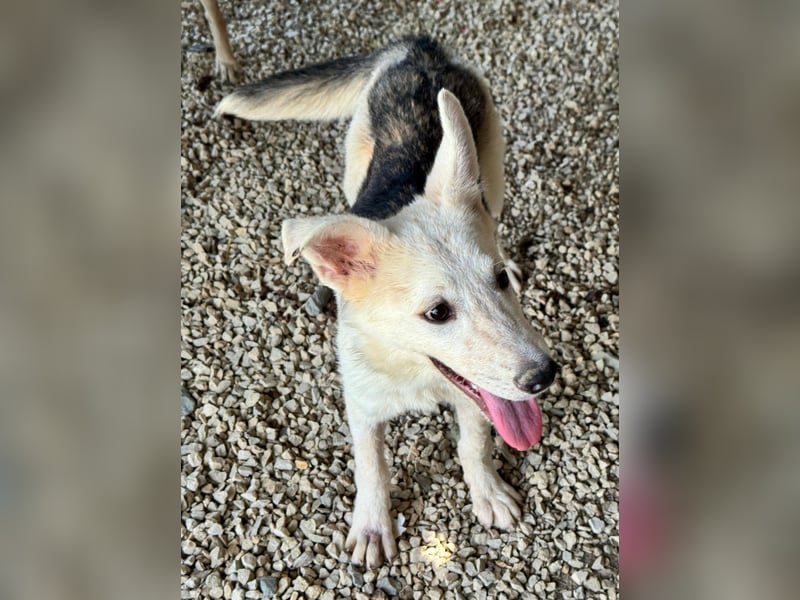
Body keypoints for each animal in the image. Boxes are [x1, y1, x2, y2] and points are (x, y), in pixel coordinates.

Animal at [215, 36, 559, 568]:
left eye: (498, 279)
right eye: (436, 313)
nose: (543, 376)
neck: (412, 371)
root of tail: (419, 50)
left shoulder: (478, 395)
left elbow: (474, 443)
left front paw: (486, 491)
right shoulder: (362, 405)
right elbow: (371, 465)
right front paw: (374, 525)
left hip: (493, 172)